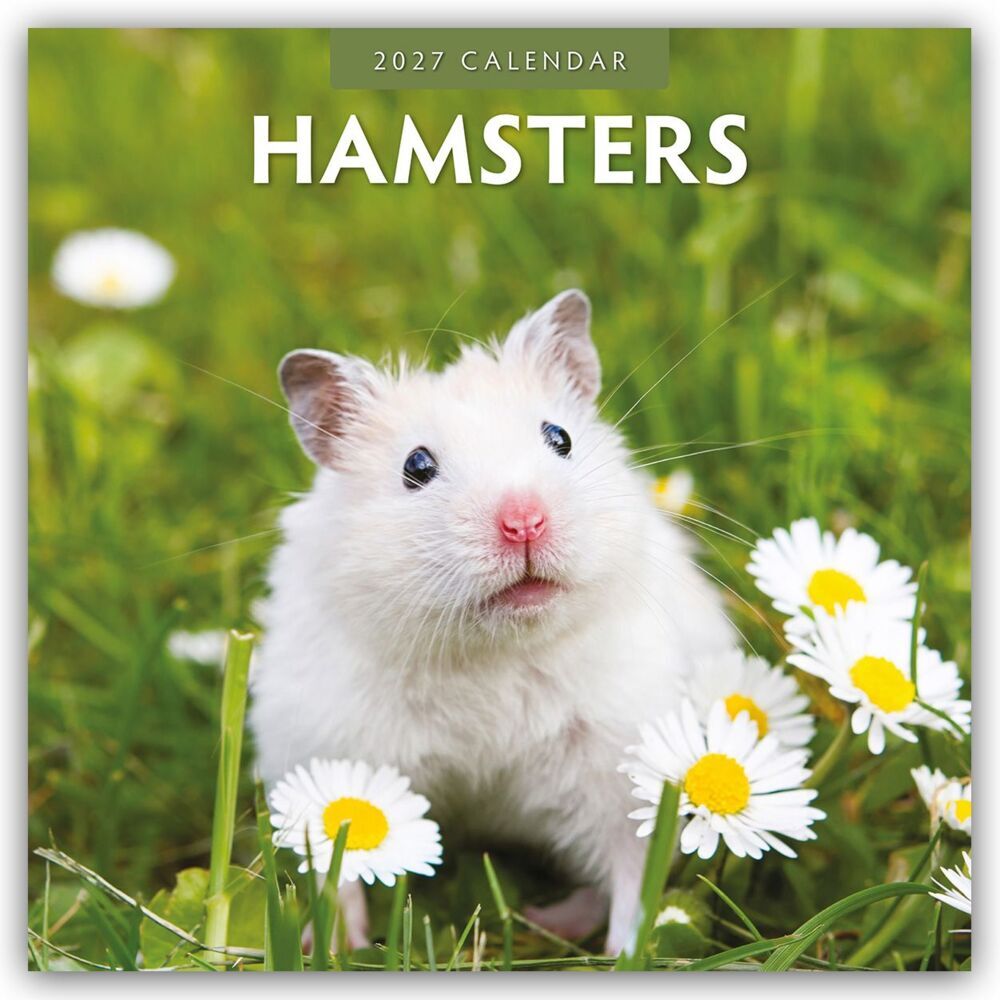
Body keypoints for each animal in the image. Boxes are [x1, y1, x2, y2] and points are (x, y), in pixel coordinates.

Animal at [249, 290, 734, 953]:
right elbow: (336, 865)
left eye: (560, 437)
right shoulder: (327, 751)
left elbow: (635, 872)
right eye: (416, 465)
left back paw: (546, 920)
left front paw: (625, 954)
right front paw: (337, 946)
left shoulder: (619, 767)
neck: (492, 651)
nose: (524, 521)